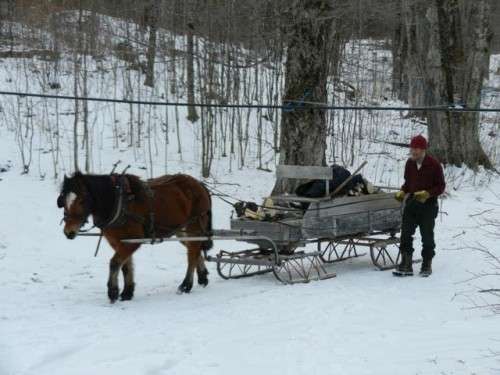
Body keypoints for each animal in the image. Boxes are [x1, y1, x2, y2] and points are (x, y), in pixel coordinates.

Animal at [57, 172, 213, 304]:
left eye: (82, 200)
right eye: (64, 200)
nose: (69, 232)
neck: (117, 203)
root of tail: (199, 184)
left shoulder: (132, 241)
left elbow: (115, 263)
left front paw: (113, 292)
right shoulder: (118, 241)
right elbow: (126, 266)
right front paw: (127, 292)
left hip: (194, 225)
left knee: (192, 252)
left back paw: (186, 284)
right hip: (180, 230)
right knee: (194, 248)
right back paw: (202, 276)